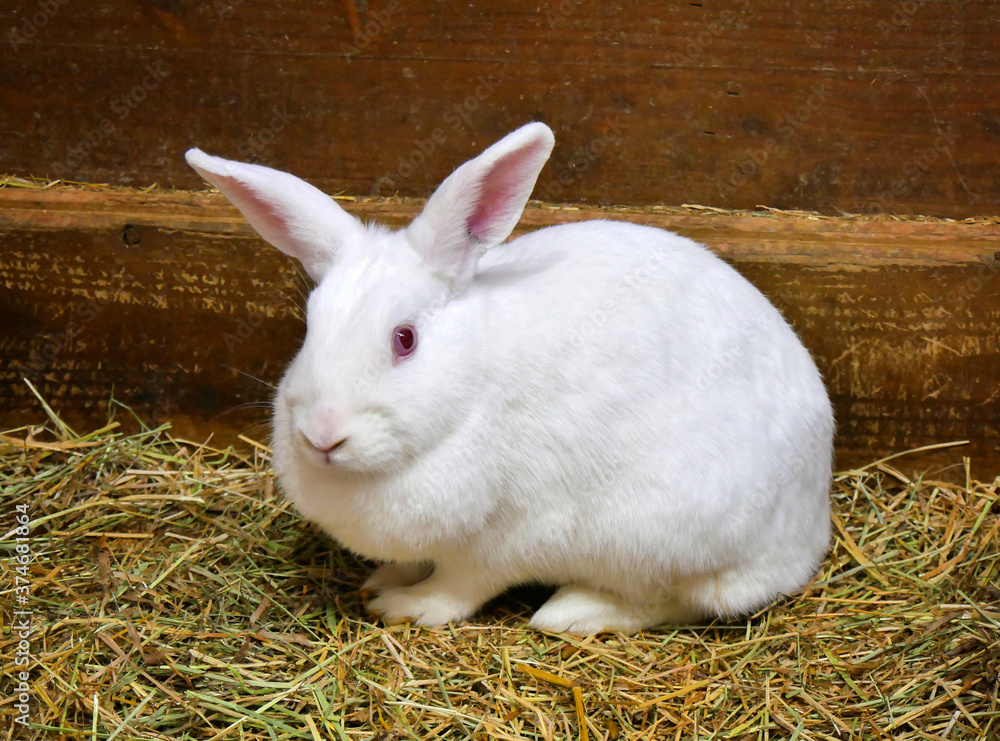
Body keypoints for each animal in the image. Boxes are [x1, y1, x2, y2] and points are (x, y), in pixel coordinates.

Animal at [185, 121, 834, 634]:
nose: (322, 436)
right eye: (311, 325)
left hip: (661, 535)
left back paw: (573, 612)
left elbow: (462, 585)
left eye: (405, 339)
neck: (467, 390)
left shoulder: (508, 537)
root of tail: (810, 533)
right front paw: (385, 577)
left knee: (679, 601)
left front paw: (407, 605)